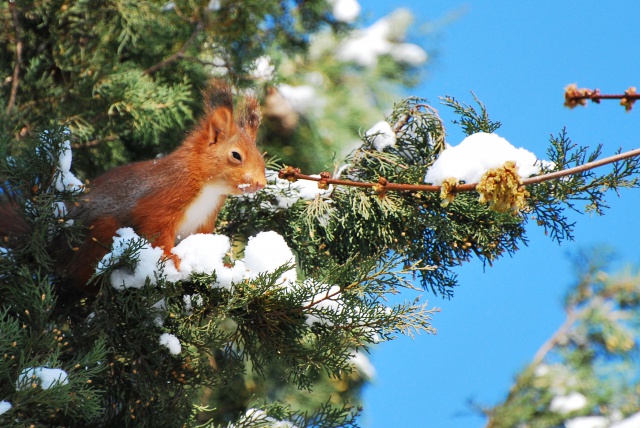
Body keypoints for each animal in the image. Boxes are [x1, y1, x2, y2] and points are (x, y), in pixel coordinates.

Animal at [55, 80, 264, 292]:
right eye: (236, 155)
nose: (261, 183)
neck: (209, 188)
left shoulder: (203, 223)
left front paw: (223, 266)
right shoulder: (160, 202)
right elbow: (158, 235)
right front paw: (172, 259)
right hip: (101, 230)